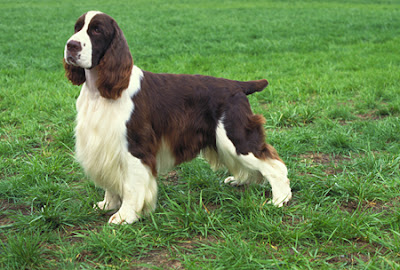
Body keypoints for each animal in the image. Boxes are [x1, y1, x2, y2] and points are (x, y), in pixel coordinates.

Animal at [63, 11, 290, 224]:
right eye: (76, 27)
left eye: (97, 30)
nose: (71, 45)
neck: (100, 91)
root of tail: (238, 85)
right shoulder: (103, 143)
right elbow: (110, 181)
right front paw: (107, 205)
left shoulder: (134, 146)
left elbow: (131, 186)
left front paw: (124, 216)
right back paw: (239, 180)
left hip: (235, 135)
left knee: (275, 165)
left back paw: (280, 199)